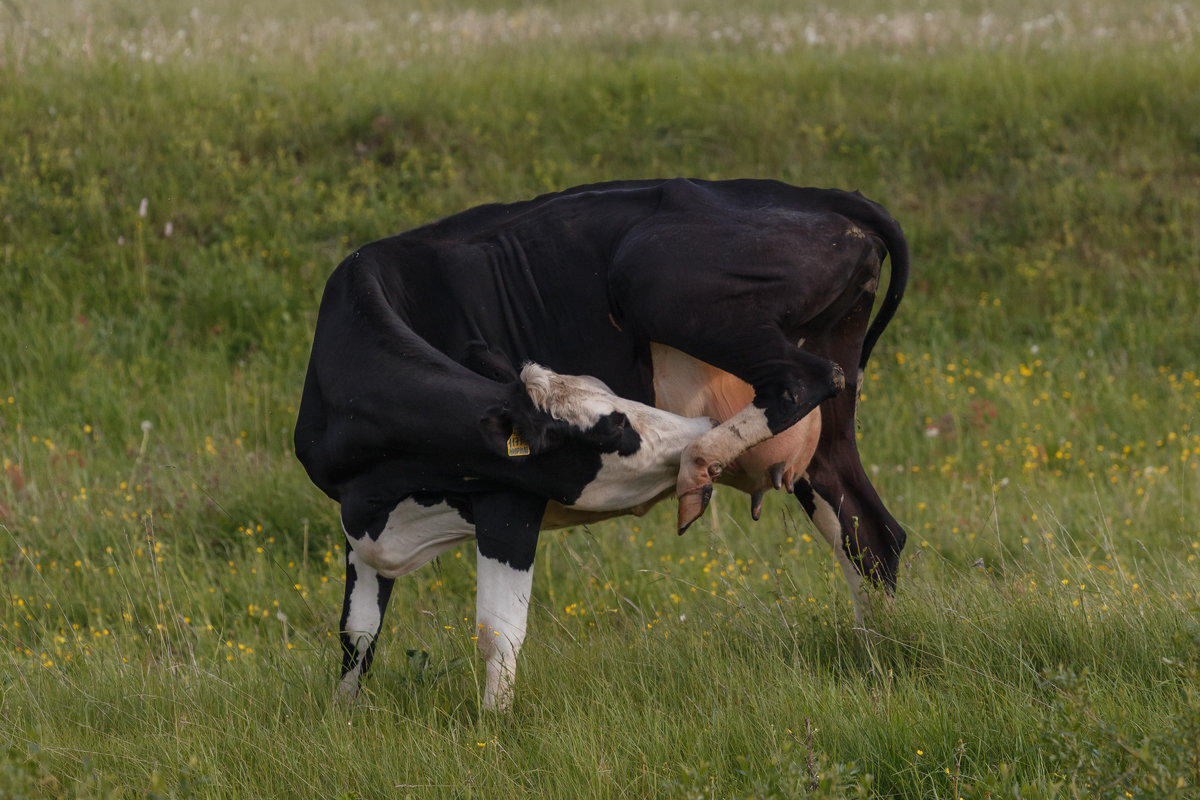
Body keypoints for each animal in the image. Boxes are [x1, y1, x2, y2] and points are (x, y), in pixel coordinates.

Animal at [300, 178, 907, 710]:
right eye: (615, 429)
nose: (697, 424)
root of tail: (821, 195)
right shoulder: (359, 518)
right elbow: (357, 633)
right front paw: (343, 718)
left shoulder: (510, 499)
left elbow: (498, 631)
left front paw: (493, 728)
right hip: (826, 441)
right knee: (872, 537)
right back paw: (878, 661)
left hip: (658, 282)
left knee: (803, 380)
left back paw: (701, 461)